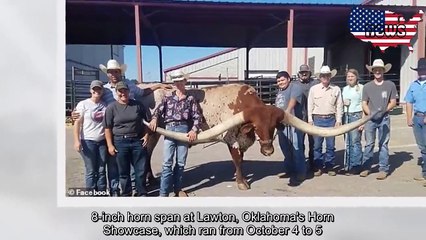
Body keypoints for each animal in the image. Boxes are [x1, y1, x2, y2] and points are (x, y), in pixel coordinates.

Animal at [138, 83, 372, 190]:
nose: (268, 150)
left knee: (147, 152)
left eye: (273, 127)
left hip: (153, 134)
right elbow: (237, 161)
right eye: (257, 127)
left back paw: (151, 178)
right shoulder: (231, 139)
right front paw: (242, 182)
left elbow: (241, 160)